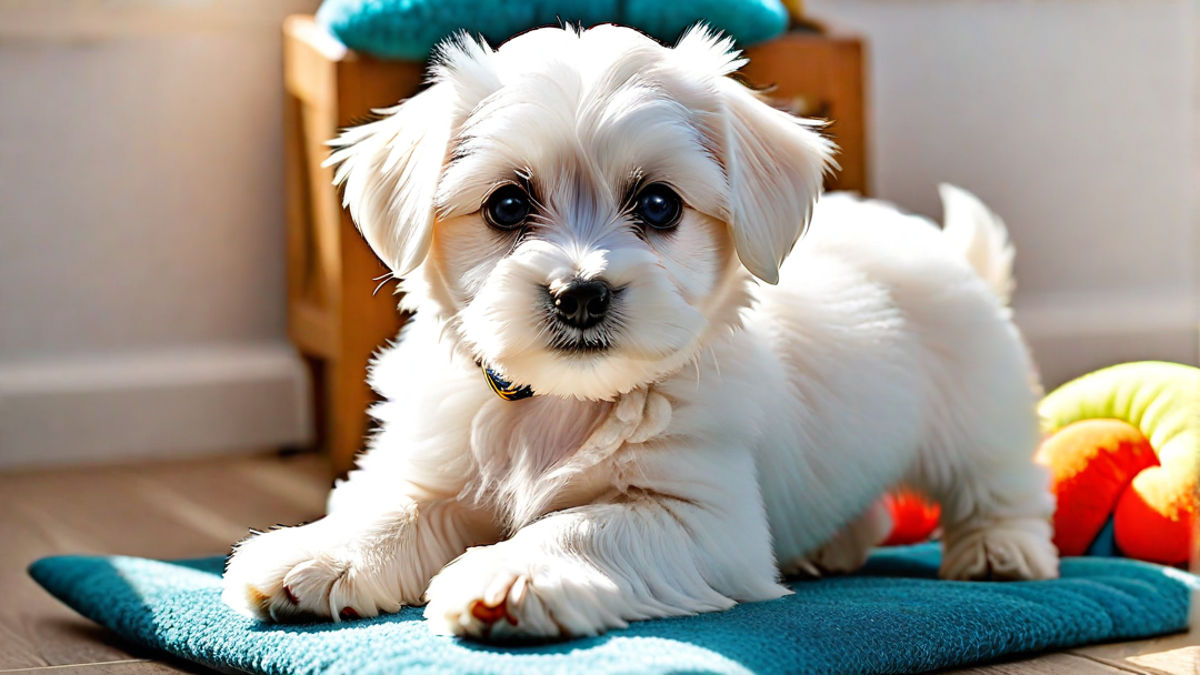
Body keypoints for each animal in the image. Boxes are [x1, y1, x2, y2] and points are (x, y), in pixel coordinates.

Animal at [220, 24, 1056, 634]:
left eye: (658, 204)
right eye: (506, 204)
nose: (580, 293)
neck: (558, 406)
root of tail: (947, 247)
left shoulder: (702, 513)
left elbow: (583, 525)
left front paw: (509, 571)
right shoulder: (433, 462)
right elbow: (388, 505)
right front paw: (317, 552)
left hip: (978, 410)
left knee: (1002, 483)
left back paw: (999, 549)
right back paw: (831, 546)